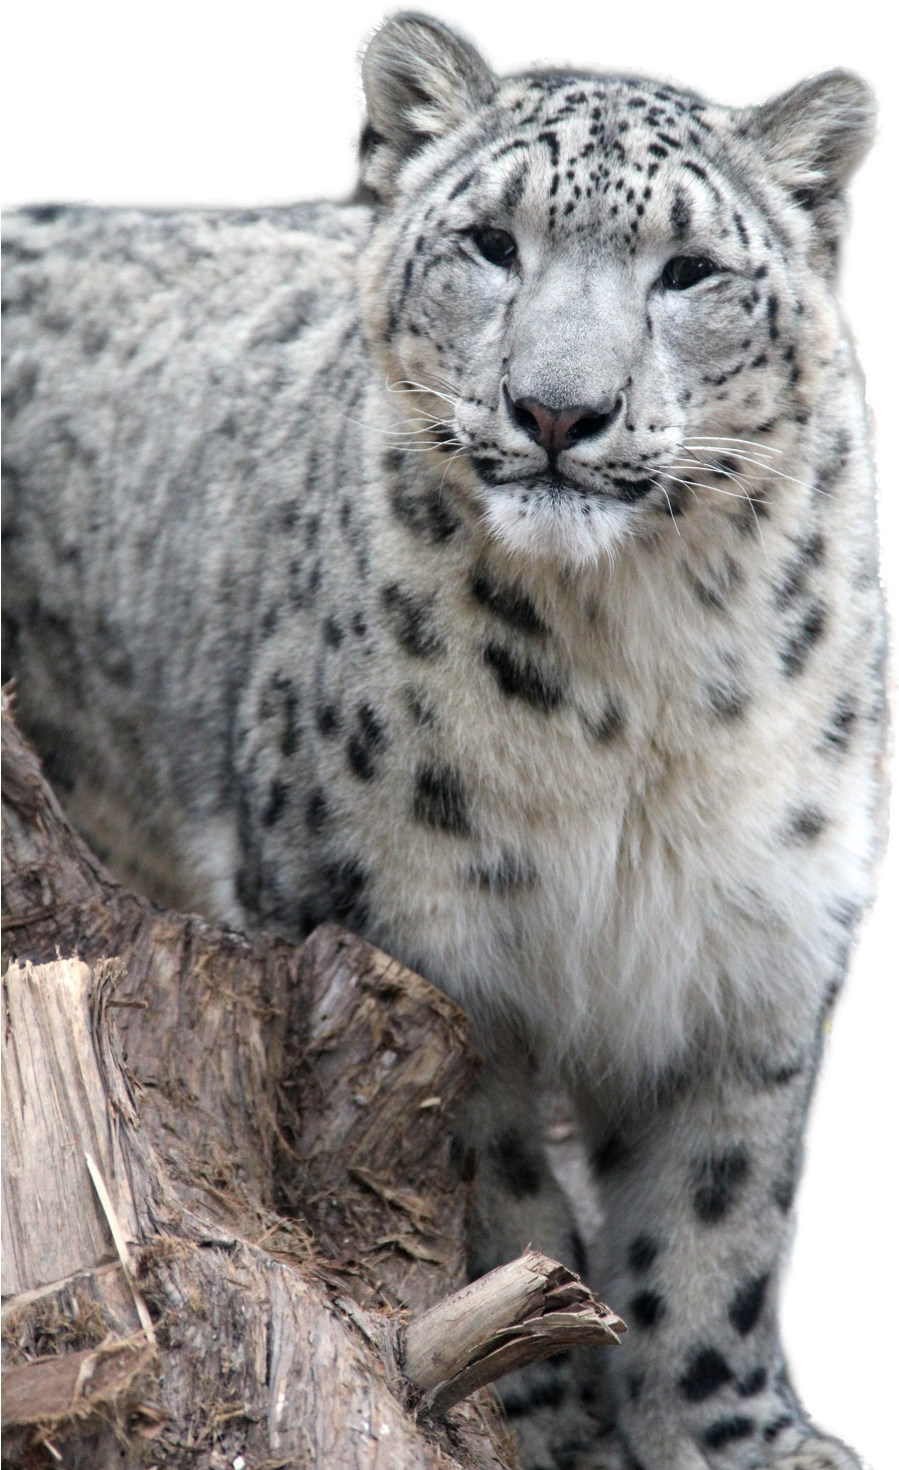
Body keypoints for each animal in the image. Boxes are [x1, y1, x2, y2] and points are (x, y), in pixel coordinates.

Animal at [1, 10, 890, 1469]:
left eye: (687, 270)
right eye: (490, 242)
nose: (557, 409)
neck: (631, 676)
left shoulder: (753, 944)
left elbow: (719, 1221)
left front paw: (729, 1437)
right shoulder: (420, 936)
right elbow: (481, 1191)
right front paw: (538, 1417)